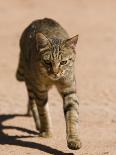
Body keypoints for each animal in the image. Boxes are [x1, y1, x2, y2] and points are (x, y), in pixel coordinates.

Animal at [15, 17, 81, 150]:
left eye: (63, 62)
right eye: (47, 62)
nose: (55, 72)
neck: (53, 80)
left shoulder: (69, 89)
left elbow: (72, 115)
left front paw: (74, 139)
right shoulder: (39, 90)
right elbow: (43, 112)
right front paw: (47, 132)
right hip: (30, 82)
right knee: (33, 103)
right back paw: (38, 124)